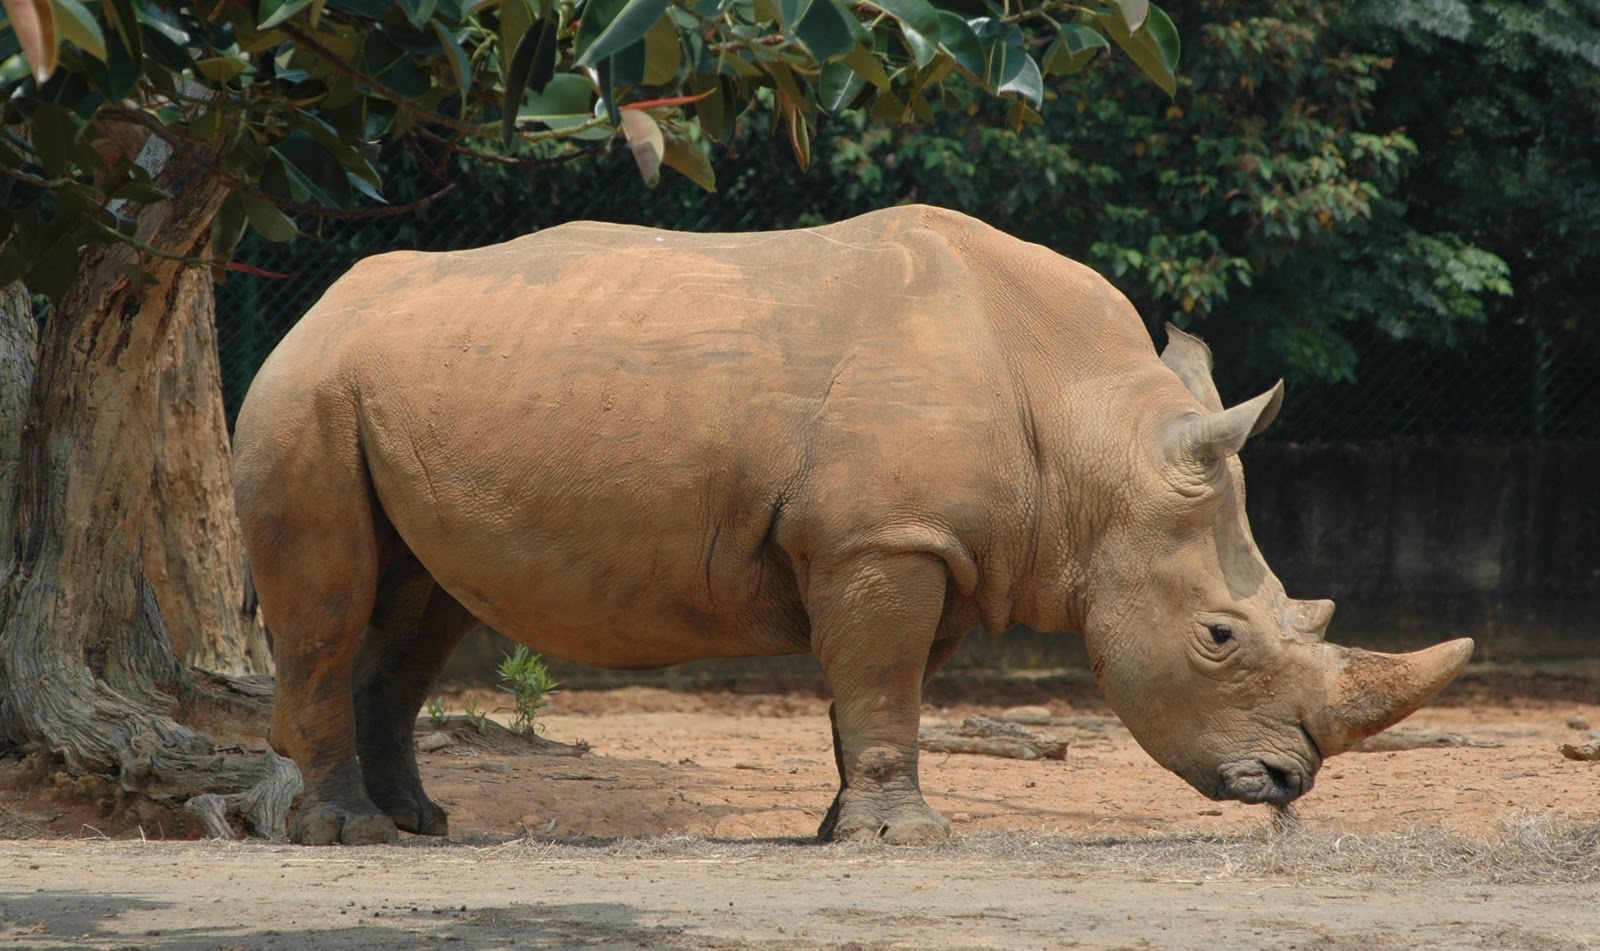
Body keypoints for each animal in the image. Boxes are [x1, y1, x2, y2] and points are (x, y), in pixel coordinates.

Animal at [233, 204, 1472, 846]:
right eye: (1219, 639)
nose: (1286, 785)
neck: (1088, 437)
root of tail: (316, 303)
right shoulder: (883, 538)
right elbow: (880, 681)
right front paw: (907, 839)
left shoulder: (928, 544)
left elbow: (877, 688)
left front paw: (847, 827)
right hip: (306, 390)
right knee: (332, 604)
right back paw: (346, 834)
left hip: (395, 385)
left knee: (419, 606)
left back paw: (421, 823)